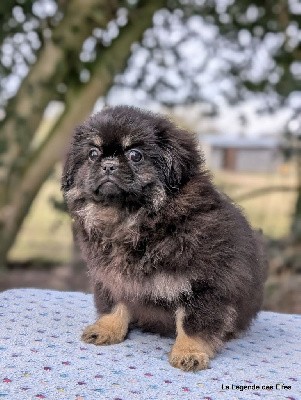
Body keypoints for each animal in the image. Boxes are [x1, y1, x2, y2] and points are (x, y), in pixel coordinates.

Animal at [61, 105, 264, 372]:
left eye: (135, 155)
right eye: (93, 154)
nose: (108, 165)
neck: (132, 218)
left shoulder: (202, 283)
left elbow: (192, 322)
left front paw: (189, 352)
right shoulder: (112, 277)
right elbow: (115, 305)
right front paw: (107, 329)